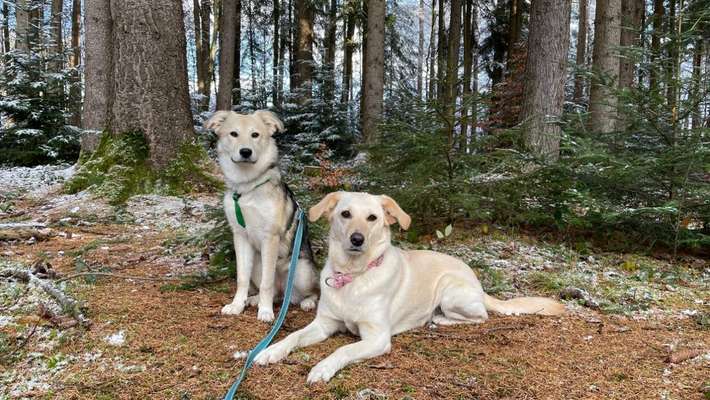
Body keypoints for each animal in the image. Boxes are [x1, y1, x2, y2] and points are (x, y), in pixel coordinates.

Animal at [204, 111, 318, 324]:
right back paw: (255, 299)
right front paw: (237, 305)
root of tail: (285, 291)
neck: (247, 187)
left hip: (302, 270)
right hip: (257, 264)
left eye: (255, 135)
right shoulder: (240, 236)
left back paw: (307, 302)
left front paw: (265, 312)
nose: (245, 152)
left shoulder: (269, 238)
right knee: (275, 293)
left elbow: (267, 282)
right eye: (233, 134)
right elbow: (242, 278)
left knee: (312, 291)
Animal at [256, 192, 568, 382]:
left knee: (480, 316)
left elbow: (341, 350)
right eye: (345, 214)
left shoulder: (377, 338)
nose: (357, 239)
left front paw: (322, 367)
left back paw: (439, 319)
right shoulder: (324, 324)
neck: (354, 276)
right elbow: (293, 336)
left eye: (372, 218)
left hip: (450, 291)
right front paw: (271, 351)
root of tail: (478, 283)